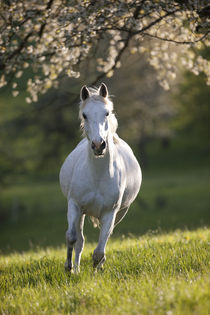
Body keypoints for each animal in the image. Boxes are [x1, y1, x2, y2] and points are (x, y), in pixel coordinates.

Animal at [59, 84, 141, 274]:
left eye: (107, 112)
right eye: (84, 115)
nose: (98, 145)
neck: (97, 175)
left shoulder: (110, 213)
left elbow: (98, 251)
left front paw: (95, 273)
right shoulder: (74, 205)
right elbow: (72, 238)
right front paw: (69, 268)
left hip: (120, 213)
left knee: (104, 239)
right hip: (81, 212)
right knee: (80, 241)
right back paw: (76, 269)